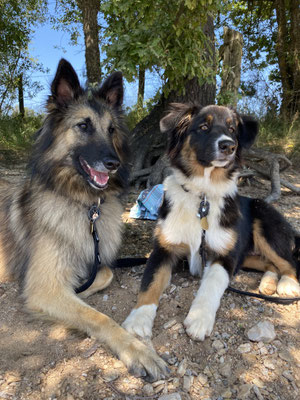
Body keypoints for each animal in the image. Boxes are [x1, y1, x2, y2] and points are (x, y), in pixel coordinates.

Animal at [122, 103, 300, 340]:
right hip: (247, 255)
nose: (228, 146)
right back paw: (269, 283)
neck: (203, 194)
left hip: (265, 227)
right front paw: (138, 320)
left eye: (232, 129)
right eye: (203, 127)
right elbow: (150, 283)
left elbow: (212, 284)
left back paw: (288, 284)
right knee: (269, 263)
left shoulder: (225, 256)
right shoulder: (163, 249)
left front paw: (199, 319)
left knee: (290, 262)